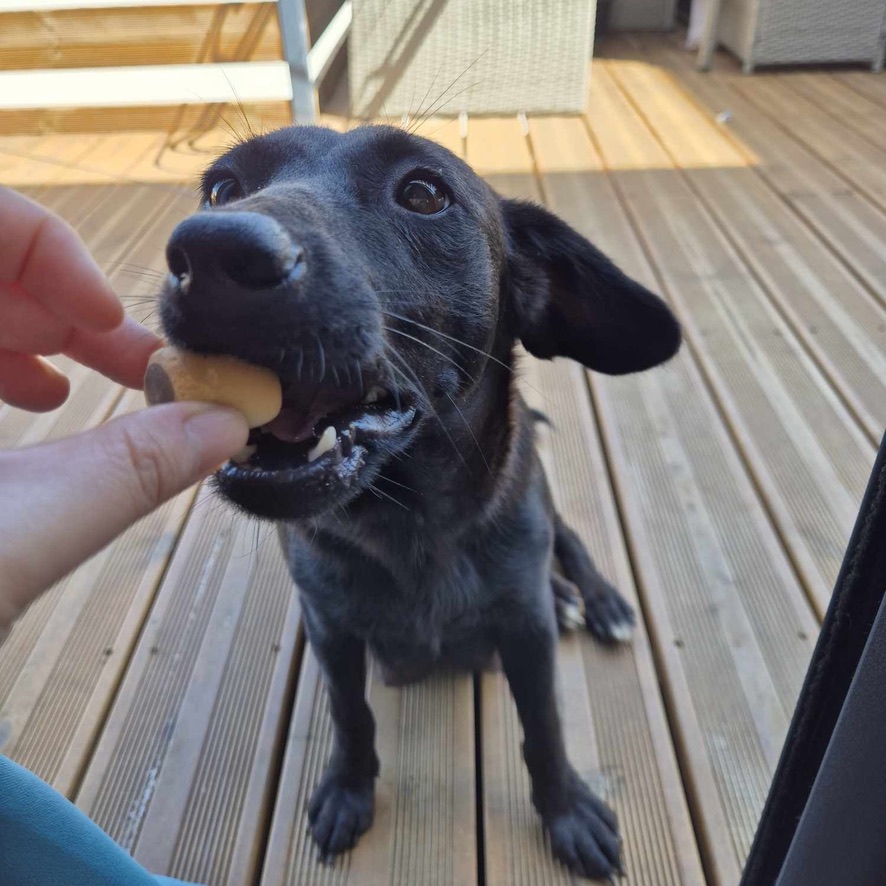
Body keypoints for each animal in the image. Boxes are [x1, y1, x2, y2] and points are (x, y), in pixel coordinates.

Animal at [158, 123, 680, 880]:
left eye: (425, 193)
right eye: (222, 188)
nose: (210, 250)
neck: (412, 526)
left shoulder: (527, 635)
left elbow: (545, 727)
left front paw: (567, 812)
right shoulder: (331, 627)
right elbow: (352, 717)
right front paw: (349, 791)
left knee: (570, 540)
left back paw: (594, 598)